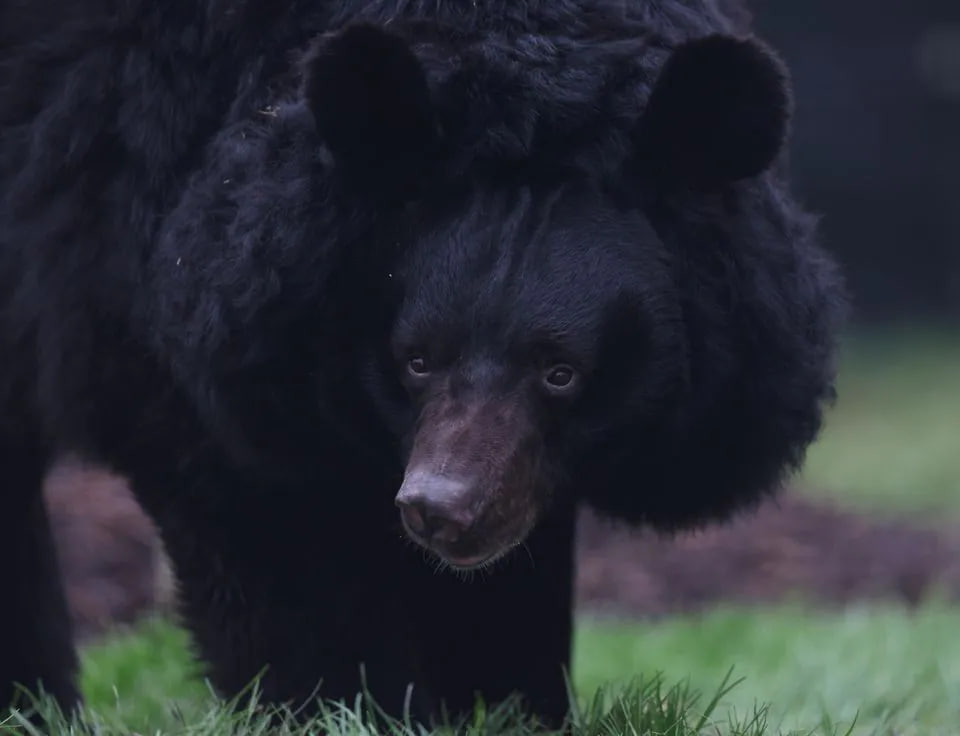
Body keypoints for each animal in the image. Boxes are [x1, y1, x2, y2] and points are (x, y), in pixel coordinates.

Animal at [0, 0, 844, 728]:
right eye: (416, 359)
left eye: (561, 371)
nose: (438, 509)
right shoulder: (168, 288)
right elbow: (267, 528)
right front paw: (345, 708)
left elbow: (509, 577)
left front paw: (504, 704)